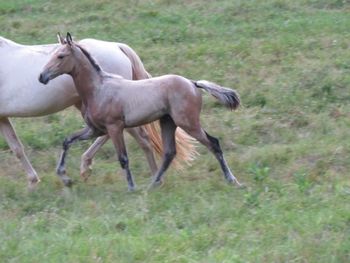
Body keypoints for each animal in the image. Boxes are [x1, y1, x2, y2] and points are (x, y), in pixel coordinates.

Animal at [0, 35, 197, 189]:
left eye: (61, 56)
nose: (42, 77)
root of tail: (118, 46)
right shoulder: (3, 118)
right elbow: (17, 148)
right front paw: (33, 181)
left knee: (127, 136)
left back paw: (87, 168)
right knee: (139, 139)